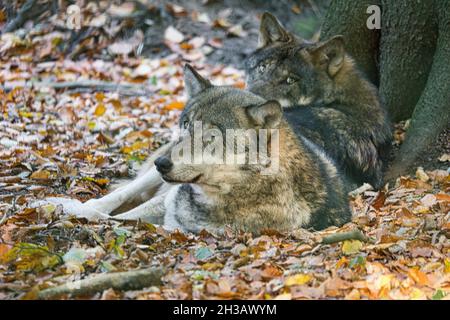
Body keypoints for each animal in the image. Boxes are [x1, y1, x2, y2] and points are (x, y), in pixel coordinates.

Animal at [37, 65, 350, 235]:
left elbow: (109, 220)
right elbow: (103, 211)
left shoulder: (169, 223)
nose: (162, 164)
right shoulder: (167, 200)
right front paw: (60, 206)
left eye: (211, 135)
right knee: (117, 195)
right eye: (186, 124)